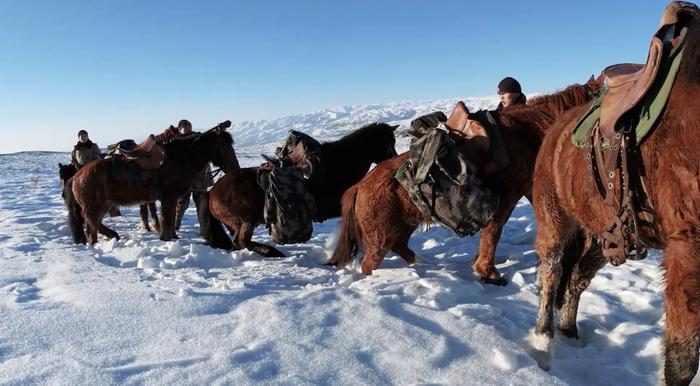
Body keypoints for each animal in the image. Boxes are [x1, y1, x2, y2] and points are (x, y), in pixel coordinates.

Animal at [208, 122, 396, 258]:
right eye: (388, 142)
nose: (394, 161)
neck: (338, 166)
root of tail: (213, 193)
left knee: (238, 243)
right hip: (248, 220)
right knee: (242, 241)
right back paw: (272, 252)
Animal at [326, 80, 600, 276]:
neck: (527, 133)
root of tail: (359, 187)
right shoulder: (507, 195)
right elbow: (493, 231)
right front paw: (488, 273)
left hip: (405, 224)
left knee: (400, 246)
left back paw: (423, 264)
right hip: (380, 236)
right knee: (370, 262)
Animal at [532, 4, 700, 384]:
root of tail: (555, 131)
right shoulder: (688, 248)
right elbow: (681, 359)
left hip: (604, 235)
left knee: (576, 277)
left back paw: (570, 332)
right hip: (554, 219)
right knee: (551, 272)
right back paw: (542, 342)